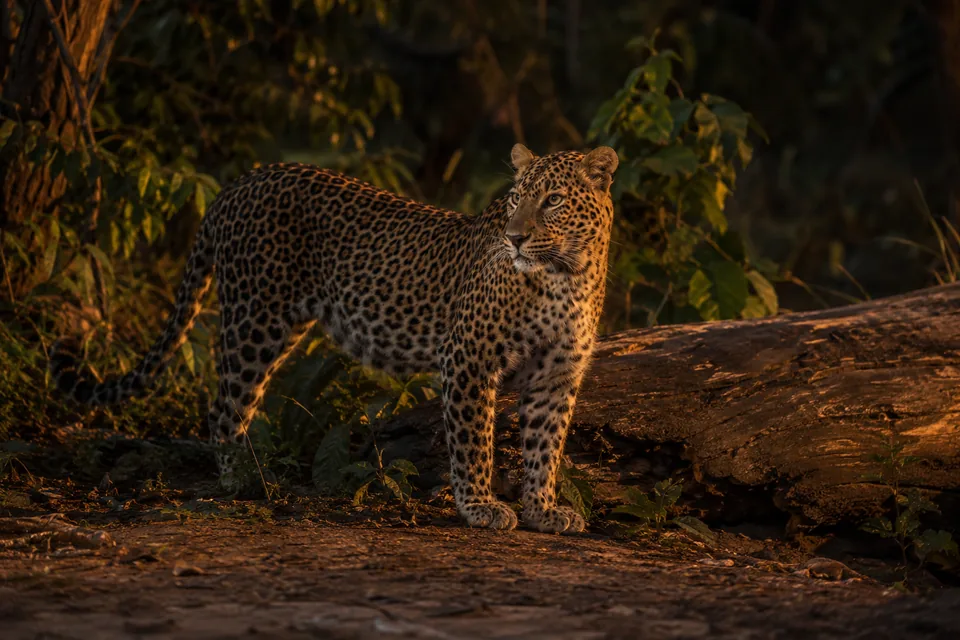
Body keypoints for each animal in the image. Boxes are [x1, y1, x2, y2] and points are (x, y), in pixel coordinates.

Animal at [51, 143, 619, 534]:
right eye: (515, 201)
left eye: (553, 201)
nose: (515, 238)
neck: (566, 276)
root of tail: (241, 182)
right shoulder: (468, 359)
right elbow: (473, 441)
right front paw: (480, 507)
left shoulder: (556, 377)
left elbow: (545, 448)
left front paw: (542, 510)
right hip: (257, 318)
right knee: (225, 403)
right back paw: (244, 481)